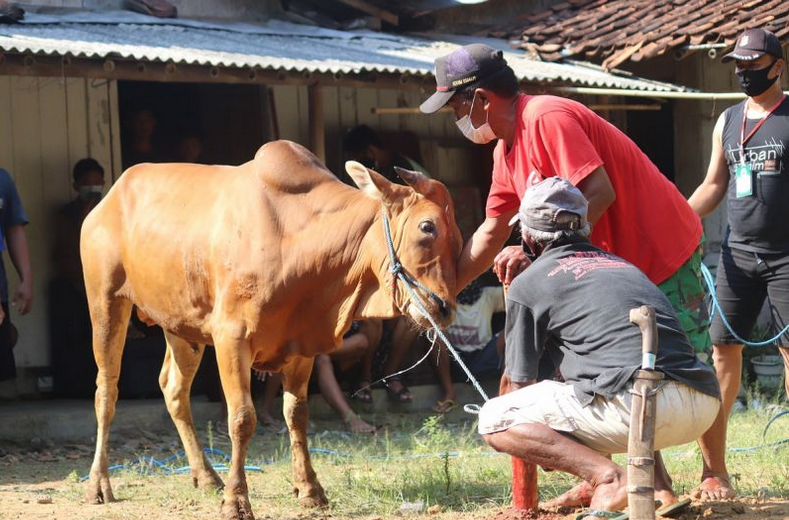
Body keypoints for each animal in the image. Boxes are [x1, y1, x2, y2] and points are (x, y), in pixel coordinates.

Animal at [80, 140, 462, 520]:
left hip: (182, 326)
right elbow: (242, 418)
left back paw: (206, 475)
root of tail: (109, 199)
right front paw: (236, 501)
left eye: (457, 236)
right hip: (106, 301)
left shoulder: (302, 346)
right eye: (427, 227)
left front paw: (309, 489)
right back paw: (99, 483)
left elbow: (297, 414)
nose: (444, 308)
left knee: (173, 390)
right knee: (106, 391)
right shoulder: (231, 338)